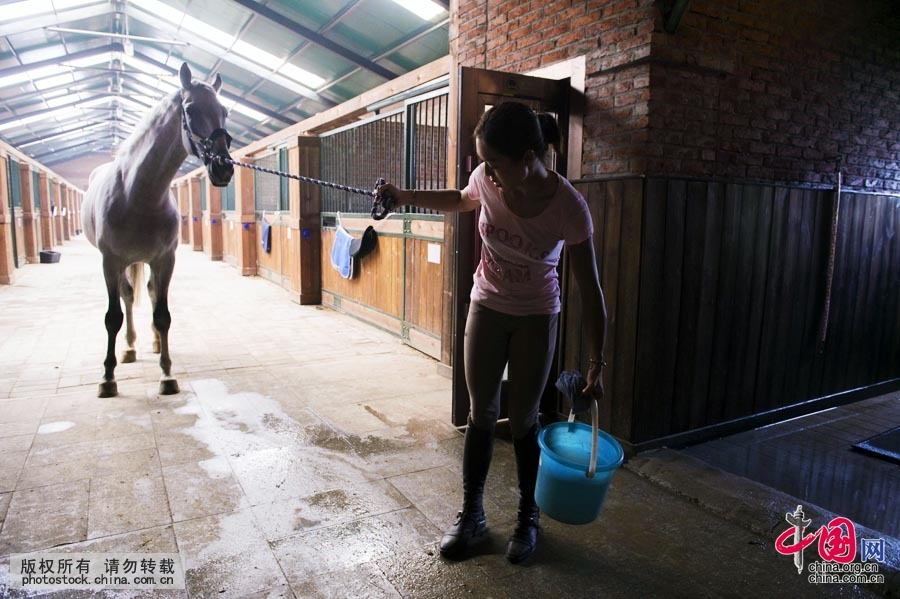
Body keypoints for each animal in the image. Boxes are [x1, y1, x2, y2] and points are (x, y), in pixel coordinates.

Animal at [82, 63, 234, 398]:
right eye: (190, 110)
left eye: (224, 111)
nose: (223, 167)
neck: (138, 193)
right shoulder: (110, 261)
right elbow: (112, 317)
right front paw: (107, 377)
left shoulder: (165, 259)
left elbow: (162, 315)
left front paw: (166, 374)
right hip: (121, 263)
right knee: (127, 297)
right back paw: (128, 349)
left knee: (150, 294)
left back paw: (151, 343)